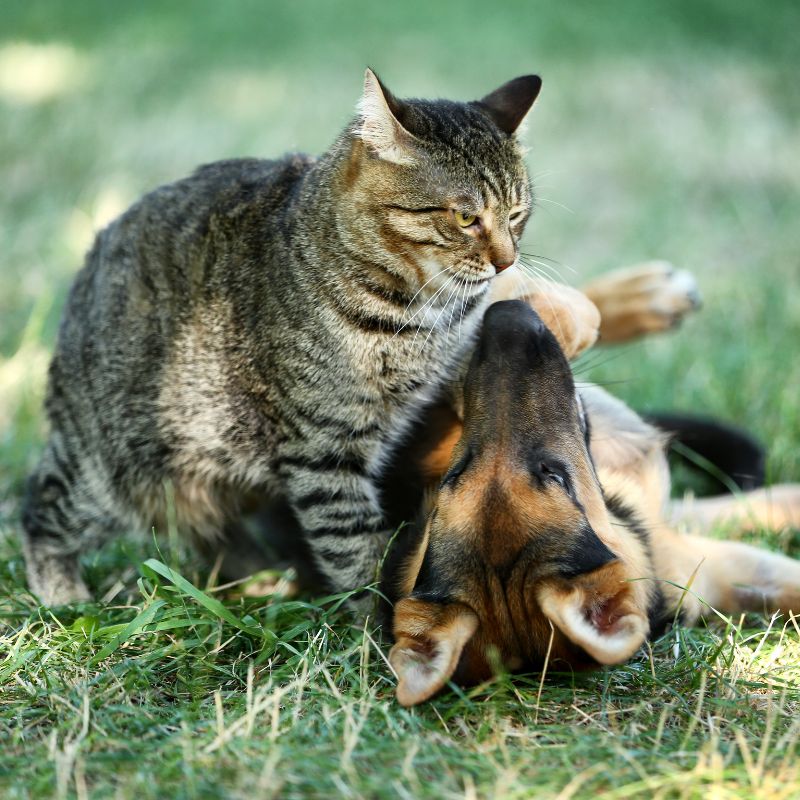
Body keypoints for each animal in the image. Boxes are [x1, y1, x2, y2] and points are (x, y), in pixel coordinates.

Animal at [21, 70, 596, 608]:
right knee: (40, 507)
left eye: (516, 214)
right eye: (465, 216)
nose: (507, 262)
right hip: (107, 470)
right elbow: (353, 544)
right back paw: (63, 593)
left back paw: (261, 583)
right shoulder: (325, 449)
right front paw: (377, 630)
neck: (419, 317)